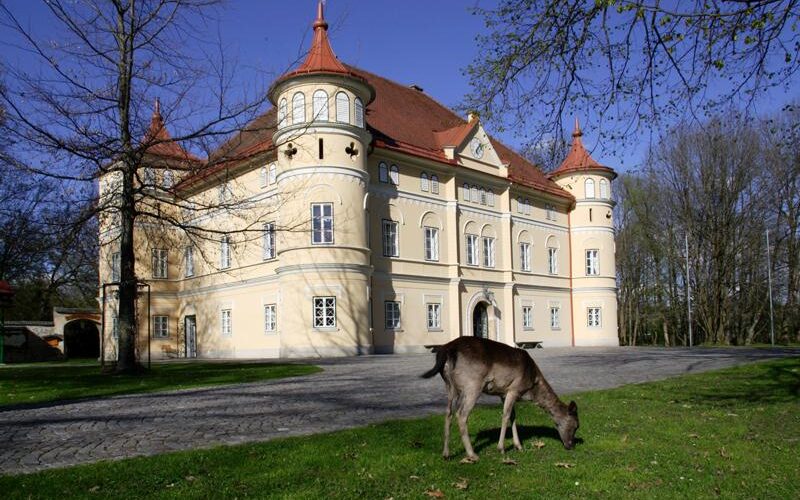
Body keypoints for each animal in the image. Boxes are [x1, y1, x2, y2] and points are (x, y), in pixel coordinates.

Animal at [422, 336, 579, 462]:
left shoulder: (503, 393)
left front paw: (518, 446)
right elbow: (506, 415)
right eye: (576, 425)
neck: (532, 387)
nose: (571, 445)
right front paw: (501, 448)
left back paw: (446, 454)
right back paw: (472, 454)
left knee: (448, 413)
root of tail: (447, 349)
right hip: (472, 384)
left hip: (449, 386)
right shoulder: (514, 389)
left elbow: (513, 416)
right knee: (461, 414)